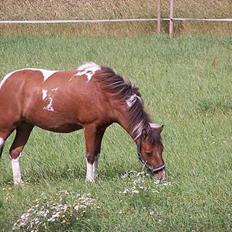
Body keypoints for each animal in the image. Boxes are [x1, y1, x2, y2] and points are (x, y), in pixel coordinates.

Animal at [0, 62, 165, 184]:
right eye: (148, 152)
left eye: (162, 149)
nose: (162, 177)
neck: (104, 92)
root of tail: (5, 81)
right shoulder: (90, 127)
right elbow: (90, 154)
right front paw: (89, 181)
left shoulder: (101, 128)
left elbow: (97, 153)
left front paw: (95, 178)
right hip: (6, 127)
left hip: (25, 126)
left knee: (14, 152)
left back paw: (19, 183)